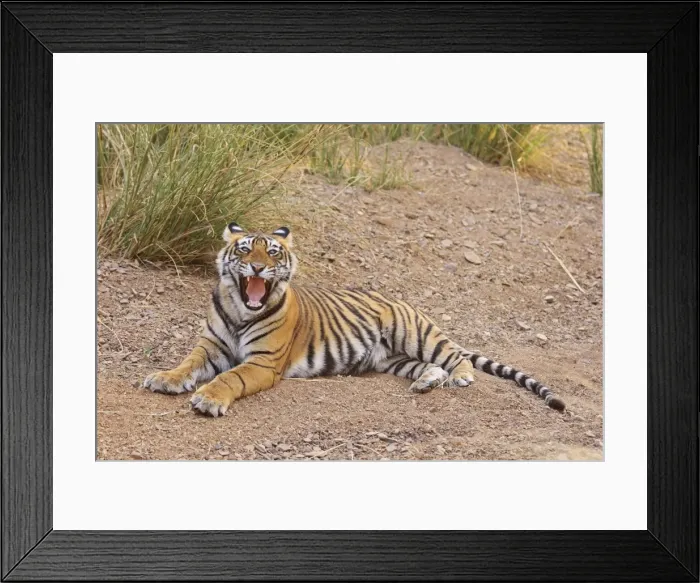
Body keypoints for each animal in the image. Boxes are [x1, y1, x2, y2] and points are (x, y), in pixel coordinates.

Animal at [143, 222, 566, 417]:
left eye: (274, 253)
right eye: (245, 250)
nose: (259, 269)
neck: (239, 311)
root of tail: (396, 297)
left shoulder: (262, 363)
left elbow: (229, 377)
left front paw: (208, 399)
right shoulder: (209, 346)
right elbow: (187, 364)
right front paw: (165, 378)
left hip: (415, 334)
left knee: (454, 356)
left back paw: (460, 376)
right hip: (395, 360)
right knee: (428, 368)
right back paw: (427, 383)